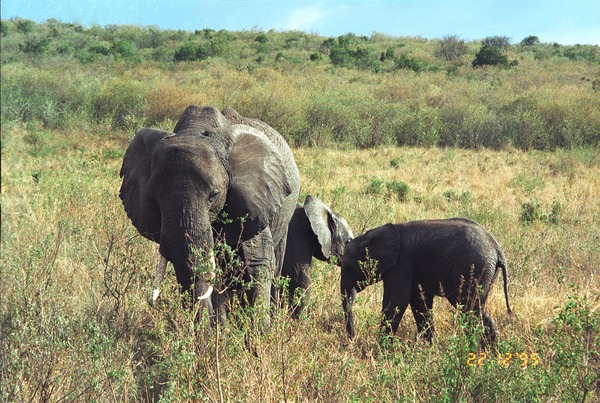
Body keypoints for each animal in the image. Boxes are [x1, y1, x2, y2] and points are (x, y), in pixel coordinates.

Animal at [119, 105, 300, 328]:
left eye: (214, 194)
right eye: (153, 197)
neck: (194, 130)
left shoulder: (254, 199)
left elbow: (257, 261)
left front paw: (260, 332)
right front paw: (220, 330)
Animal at [342, 218, 510, 348]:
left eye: (348, 267)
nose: (352, 341)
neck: (370, 235)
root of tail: (497, 248)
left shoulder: (401, 264)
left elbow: (397, 300)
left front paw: (381, 350)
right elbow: (419, 303)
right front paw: (430, 348)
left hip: (475, 268)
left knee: (469, 311)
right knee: (478, 310)